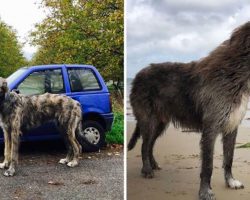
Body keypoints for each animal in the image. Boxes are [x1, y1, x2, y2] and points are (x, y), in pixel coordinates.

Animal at [129, 21, 250, 200]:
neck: (233, 72)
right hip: (148, 120)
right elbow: (208, 165)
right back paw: (147, 170)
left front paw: (231, 181)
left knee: (150, 144)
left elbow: (229, 158)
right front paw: (205, 191)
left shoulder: (231, 126)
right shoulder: (211, 128)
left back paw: (153, 164)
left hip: (160, 122)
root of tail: (137, 76)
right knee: (144, 145)